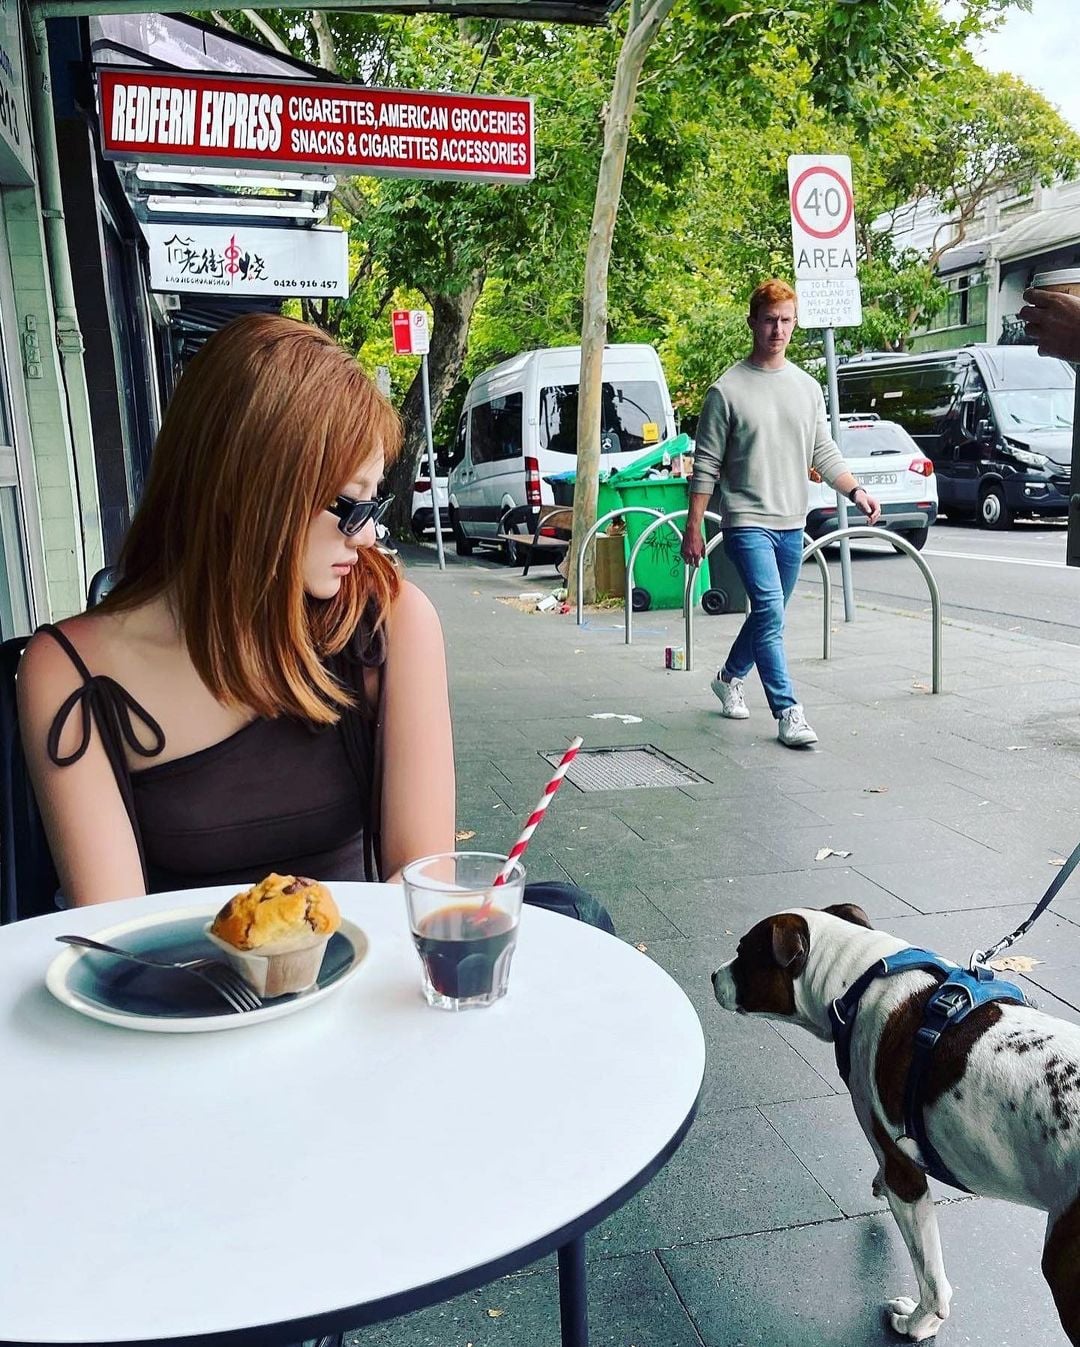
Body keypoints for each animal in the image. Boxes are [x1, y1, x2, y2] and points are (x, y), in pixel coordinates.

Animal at [711, 904, 1080, 1343]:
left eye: (742, 952)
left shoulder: (905, 1174)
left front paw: (919, 1324)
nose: (713, 976)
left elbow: (932, 1278)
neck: (859, 978)